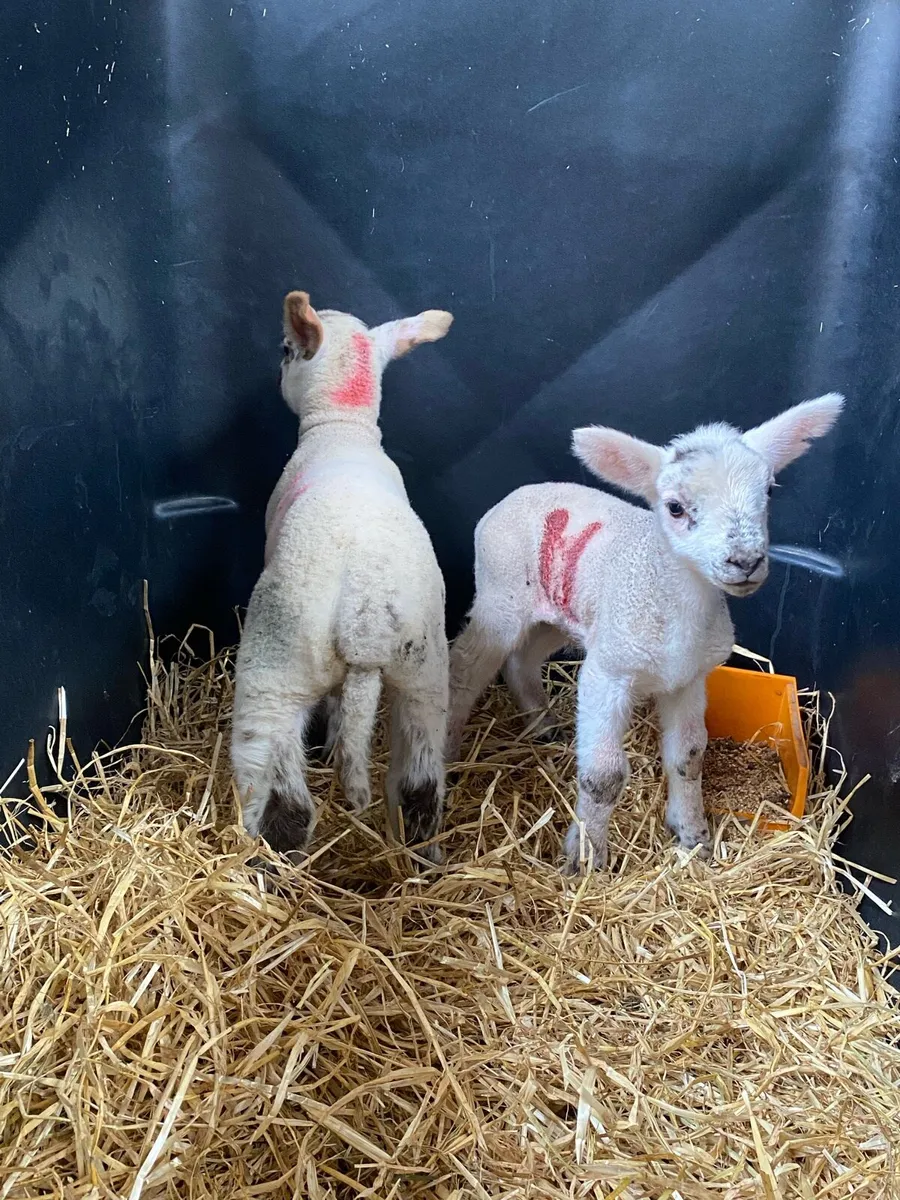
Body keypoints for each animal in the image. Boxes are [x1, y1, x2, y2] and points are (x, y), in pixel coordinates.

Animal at [232, 291, 453, 864]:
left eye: (285, 350)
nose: (275, 371)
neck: (343, 426)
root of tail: (366, 617)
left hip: (275, 670)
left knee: (282, 800)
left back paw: (260, 862)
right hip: (424, 674)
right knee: (420, 784)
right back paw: (422, 859)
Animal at [447, 394, 844, 872]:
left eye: (767, 491)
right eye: (674, 507)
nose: (745, 561)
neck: (675, 608)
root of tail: (513, 496)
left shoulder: (689, 678)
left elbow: (688, 759)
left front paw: (693, 838)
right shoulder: (608, 671)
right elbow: (602, 777)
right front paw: (586, 858)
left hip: (557, 612)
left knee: (521, 660)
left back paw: (544, 725)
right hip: (500, 593)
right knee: (464, 670)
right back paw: (444, 755)